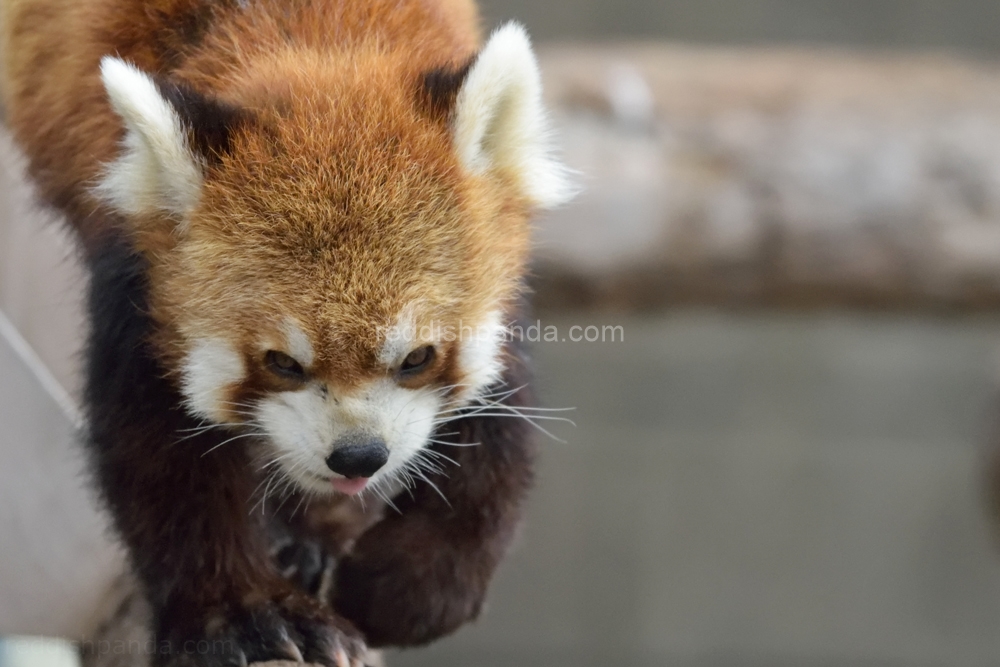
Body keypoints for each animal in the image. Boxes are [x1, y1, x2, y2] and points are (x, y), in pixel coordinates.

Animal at [1, 0, 572, 664]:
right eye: (282, 363)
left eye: (417, 357)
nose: (358, 455)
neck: (316, 43)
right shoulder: (133, 261)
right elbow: (158, 453)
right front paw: (242, 614)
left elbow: (501, 422)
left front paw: (406, 587)